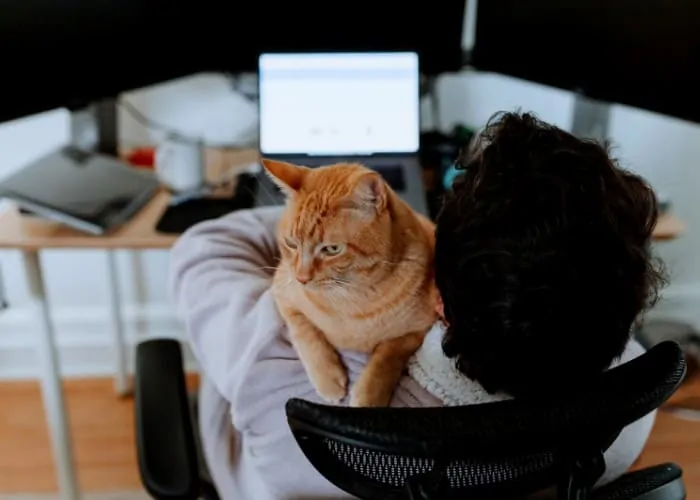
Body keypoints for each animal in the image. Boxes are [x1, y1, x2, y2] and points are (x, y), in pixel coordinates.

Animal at [262, 158, 438, 408]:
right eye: (291, 244)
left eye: (332, 249)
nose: (302, 278)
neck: (350, 299)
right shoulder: (283, 294)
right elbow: (305, 333)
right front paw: (328, 379)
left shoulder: (419, 329)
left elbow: (387, 356)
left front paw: (368, 396)